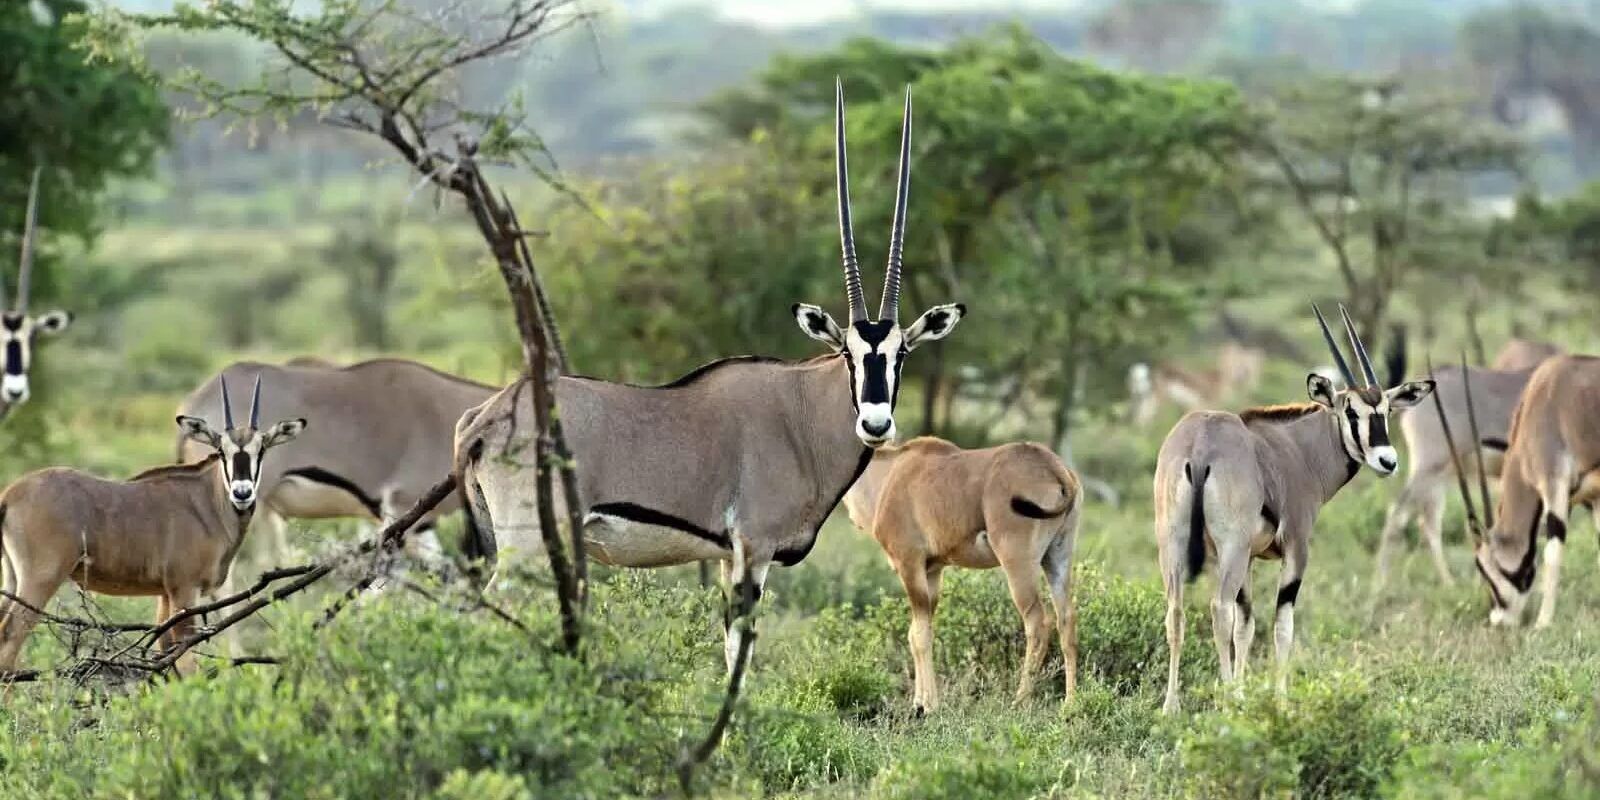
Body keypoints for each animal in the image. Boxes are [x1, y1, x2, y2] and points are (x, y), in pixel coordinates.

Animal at [0, 377, 302, 672]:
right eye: (220, 449)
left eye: (261, 449)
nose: (242, 493)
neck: (207, 501)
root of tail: (9, 495)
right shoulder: (184, 589)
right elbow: (184, 657)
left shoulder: (165, 594)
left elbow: (163, 655)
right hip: (40, 579)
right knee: (10, 638)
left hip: (13, 579)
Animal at [457, 81, 966, 672]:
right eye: (847, 352)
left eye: (901, 351)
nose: (876, 424)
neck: (802, 413)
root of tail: (487, 417)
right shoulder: (754, 548)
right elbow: (741, 654)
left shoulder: (726, 557)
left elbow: (727, 646)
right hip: (529, 546)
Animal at [844, 438, 1081, 713]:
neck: (891, 471)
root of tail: (1054, 467)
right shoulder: (932, 571)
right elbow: (917, 633)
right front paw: (919, 702)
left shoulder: (909, 565)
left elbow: (920, 635)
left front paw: (929, 706)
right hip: (1057, 558)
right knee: (1066, 619)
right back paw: (1070, 703)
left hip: (1018, 564)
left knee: (1038, 623)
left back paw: (1019, 701)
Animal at [1152, 305, 1440, 713]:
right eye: (1350, 411)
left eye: (1384, 409)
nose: (1387, 461)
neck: (1298, 449)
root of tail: (1200, 444)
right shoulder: (1295, 548)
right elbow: (1281, 626)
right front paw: (1278, 702)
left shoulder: (1251, 558)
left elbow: (1247, 625)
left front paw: (1244, 694)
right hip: (1229, 548)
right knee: (1218, 609)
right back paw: (1224, 702)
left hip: (1174, 543)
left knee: (1176, 612)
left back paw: (1171, 707)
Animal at [1465, 353, 1600, 627]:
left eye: (1483, 568)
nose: (1498, 621)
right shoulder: (1592, 497)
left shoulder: (1554, 486)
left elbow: (1552, 554)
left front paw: (1542, 624)